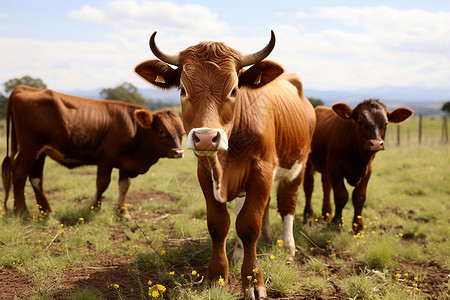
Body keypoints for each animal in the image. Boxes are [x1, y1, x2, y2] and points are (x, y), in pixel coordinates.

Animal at [1, 85, 185, 216]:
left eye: (182, 133)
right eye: (161, 131)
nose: (179, 153)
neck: (135, 130)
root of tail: (24, 88)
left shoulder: (125, 163)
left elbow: (124, 185)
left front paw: (122, 213)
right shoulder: (107, 157)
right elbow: (102, 183)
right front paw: (93, 208)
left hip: (41, 152)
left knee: (36, 179)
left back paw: (47, 211)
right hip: (30, 148)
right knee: (19, 174)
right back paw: (22, 210)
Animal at [135, 30, 314, 298]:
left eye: (233, 90)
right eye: (183, 89)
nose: (206, 137)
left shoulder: (262, 170)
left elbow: (249, 225)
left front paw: (253, 280)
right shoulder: (205, 172)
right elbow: (219, 224)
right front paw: (216, 275)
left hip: (297, 168)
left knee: (287, 206)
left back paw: (288, 250)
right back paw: (245, 250)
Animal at [304, 99, 414, 233]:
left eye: (386, 123)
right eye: (360, 122)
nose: (376, 144)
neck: (358, 157)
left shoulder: (368, 171)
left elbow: (359, 197)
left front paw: (358, 227)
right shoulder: (335, 168)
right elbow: (341, 196)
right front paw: (336, 224)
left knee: (326, 187)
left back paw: (326, 214)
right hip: (308, 163)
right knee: (309, 187)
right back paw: (308, 218)